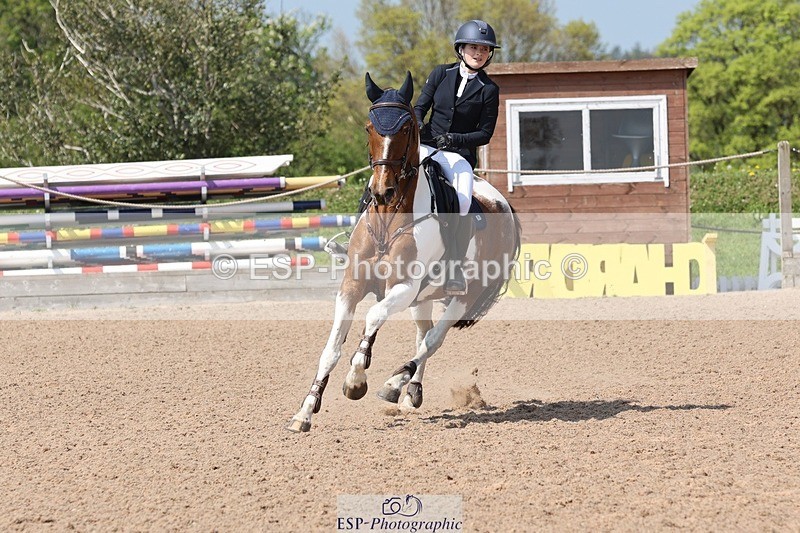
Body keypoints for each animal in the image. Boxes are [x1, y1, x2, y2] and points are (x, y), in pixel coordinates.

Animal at [288, 71, 521, 433]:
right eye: (368, 128)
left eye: (406, 128)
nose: (382, 191)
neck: (388, 218)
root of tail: (504, 206)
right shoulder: (352, 285)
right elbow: (331, 348)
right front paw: (306, 411)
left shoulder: (403, 287)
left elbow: (372, 317)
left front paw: (356, 381)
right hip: (422, 299)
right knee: (423, 334)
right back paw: (410, 391)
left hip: (462, 295)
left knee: (433, 340)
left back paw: (394, 382)